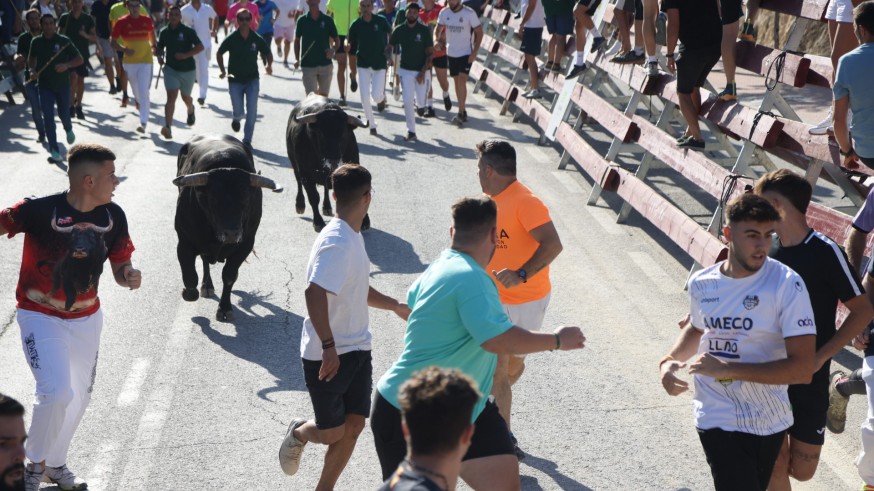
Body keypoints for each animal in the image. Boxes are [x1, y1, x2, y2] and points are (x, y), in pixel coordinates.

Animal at [170, 135, 280, 322]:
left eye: (246, 198)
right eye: (213, 199)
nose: (231, 234)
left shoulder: (245, 244)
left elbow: (229, 275)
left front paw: (225, 308)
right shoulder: (184, 242)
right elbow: (190, 275)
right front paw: (189, 293)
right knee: (204, 261)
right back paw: (206, 286)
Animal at [286, 94, 368, 233]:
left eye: (344, 133)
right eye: (321, 133)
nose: (333, 162)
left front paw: (365, 221)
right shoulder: (306, 175)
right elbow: (313, 197)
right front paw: (318, 222)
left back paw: (327, 207)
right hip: (294, 163)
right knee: (298, 182)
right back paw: (300, 205)